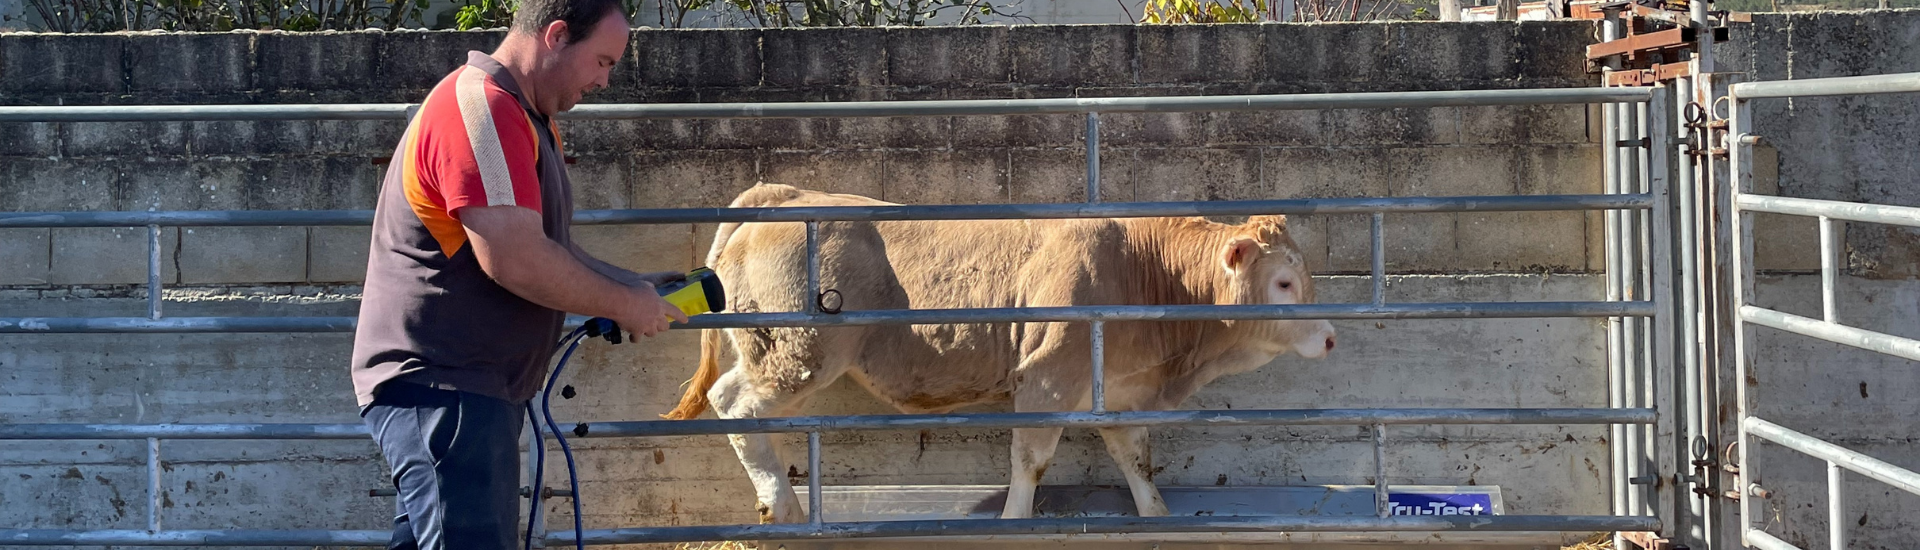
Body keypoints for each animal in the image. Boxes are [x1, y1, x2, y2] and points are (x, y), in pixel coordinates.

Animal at [660, 183, 1336, 523]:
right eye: (1283, 282)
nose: (1332, 336)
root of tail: (780, 196)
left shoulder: (1120, 390)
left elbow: (1136, 460)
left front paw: (1158, 516)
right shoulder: (1047, 378)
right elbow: (1030, 461)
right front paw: (1014, 521)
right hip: (795, 352)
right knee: (737, 405)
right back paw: (783, 506)